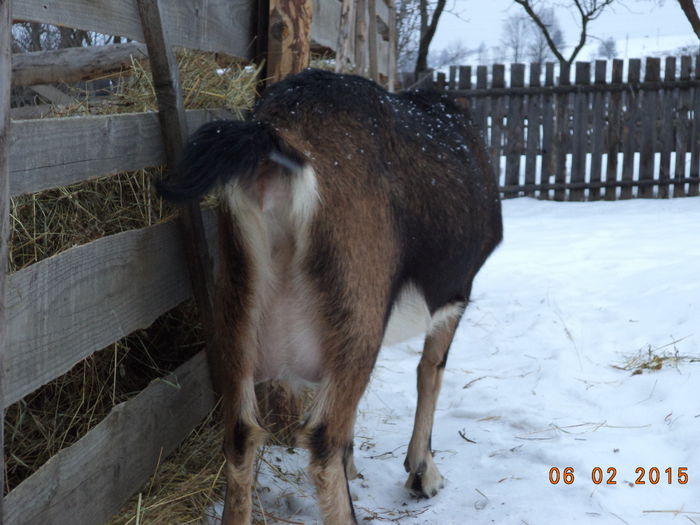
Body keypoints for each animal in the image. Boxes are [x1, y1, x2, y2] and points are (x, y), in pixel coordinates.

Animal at [163, 68, 504, 524]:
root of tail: (279, 139)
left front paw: (359, 464)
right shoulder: (454, 296)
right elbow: (430, 372)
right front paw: (423, 474)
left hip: (236, 306)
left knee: (241, 433)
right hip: (357, 306)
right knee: (324, 440)